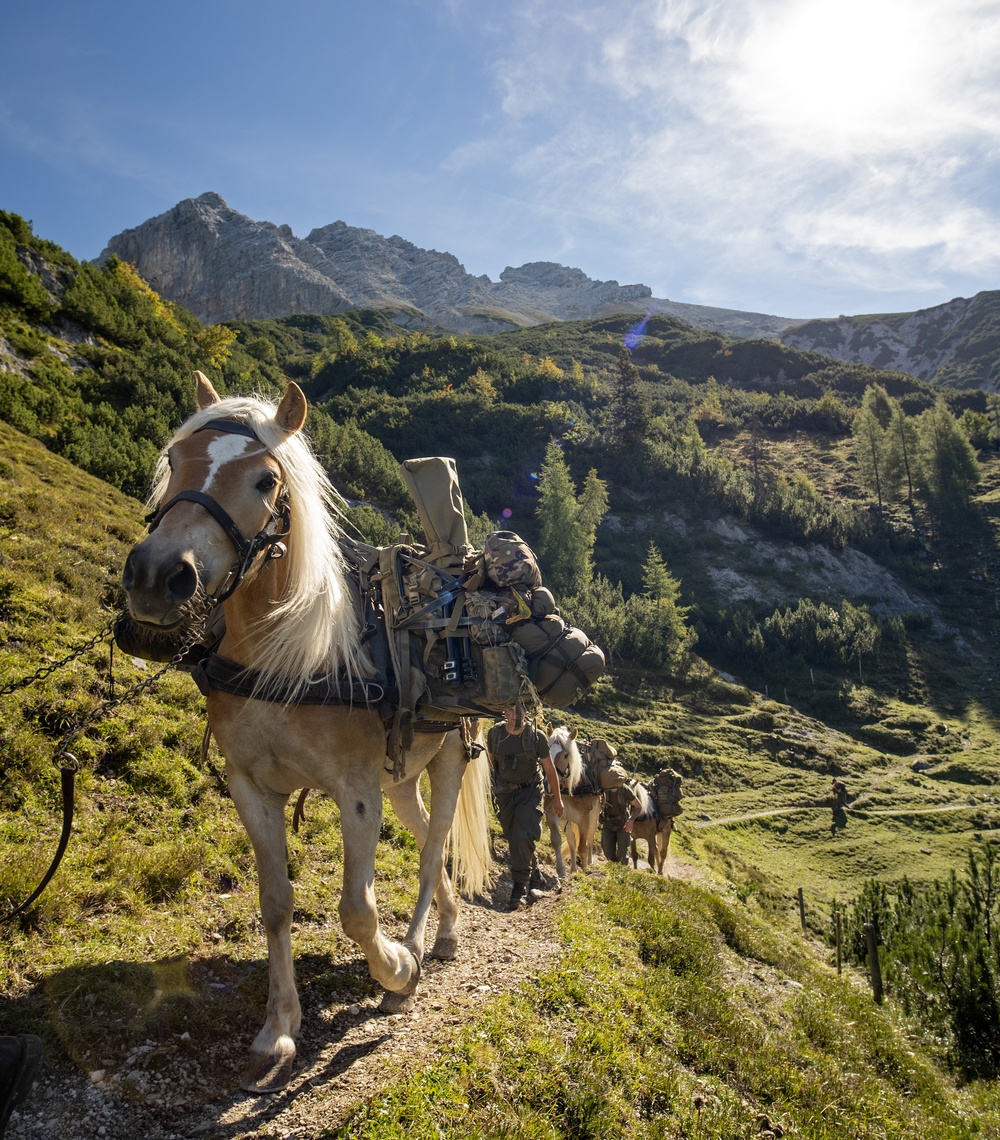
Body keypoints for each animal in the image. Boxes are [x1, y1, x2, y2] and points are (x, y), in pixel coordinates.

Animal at [120, 369, 492, 1089]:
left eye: (266, 480)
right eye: (174, 460)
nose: (155, 576)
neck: (286, 653)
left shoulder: (355, 791)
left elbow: (356, 909)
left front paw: (395, 970)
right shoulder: (251, 787)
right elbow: (275, 902)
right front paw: (279, 1029)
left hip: (446, 760)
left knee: (432, 848)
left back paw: (416, 949)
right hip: (400, 778)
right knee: (424, 836)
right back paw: (447, 930)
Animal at [542, 725, 597, 875]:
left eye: (566, 755)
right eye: (547, 750)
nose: (548, 785)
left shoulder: (583, 820)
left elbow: (583, 848)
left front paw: (584, 871)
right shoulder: (553, 815)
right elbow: (556, 840)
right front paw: (561, 869)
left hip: (594, 816)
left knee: (590, 839)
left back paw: (589, 862)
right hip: (565, 821)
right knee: (572, 841)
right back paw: (572, 869)